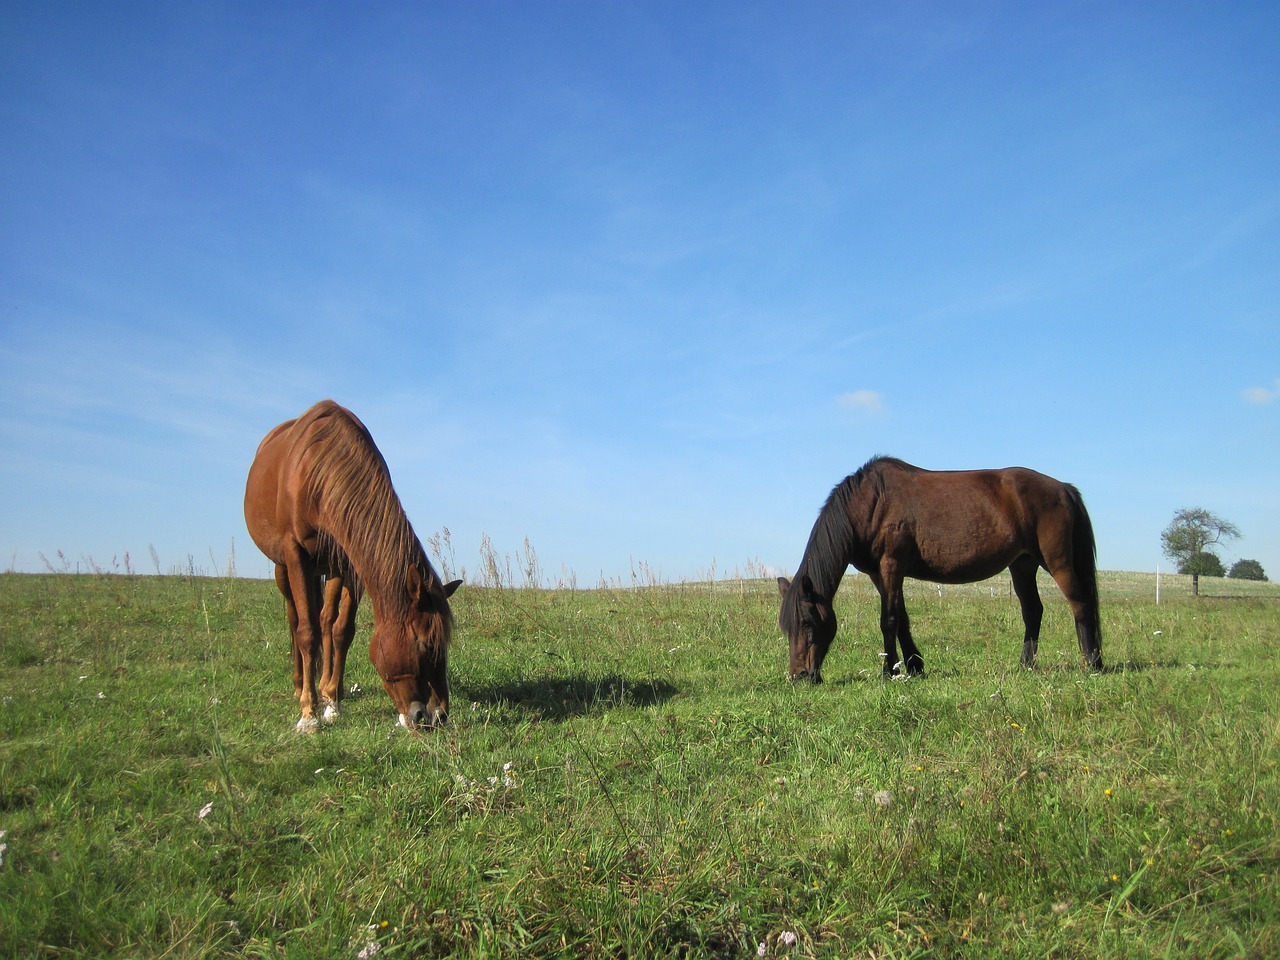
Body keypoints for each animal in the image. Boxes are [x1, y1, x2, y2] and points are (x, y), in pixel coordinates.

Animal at [243, 401, 460, 732]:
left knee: (325, 620)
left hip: (328, 568)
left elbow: (341, 630)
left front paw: (332, 703)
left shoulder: (350, 565)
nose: (436, 717)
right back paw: (300, 686)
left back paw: (328, 689)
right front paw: (308, 715)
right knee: (296, 619)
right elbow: (306, 632)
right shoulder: (295, 555)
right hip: (282, 567)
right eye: (425, 645)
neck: (316, 473)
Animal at [778, 458, 1100, 686]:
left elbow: (888, 620)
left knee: (1080, 603)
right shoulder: (880, 575)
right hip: (1022, 564)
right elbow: (902, 620)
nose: (800, 677)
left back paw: (1091, 663)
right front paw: (913, 665)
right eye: (787, 628)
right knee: (1033, 611)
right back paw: (1026, 664)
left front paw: (889, 671)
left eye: (807, 624)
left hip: (1056, 561)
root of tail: (1063, 488)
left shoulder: (891, 565)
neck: (870, 503)